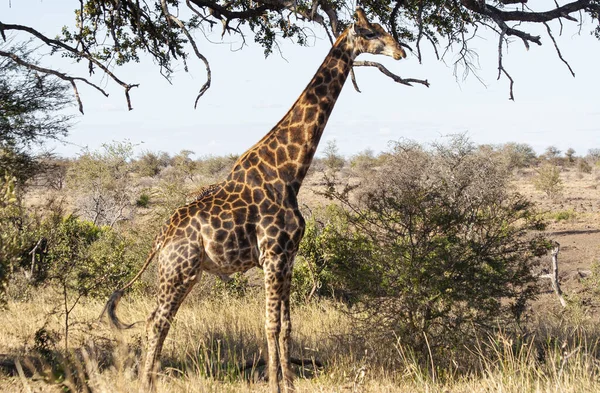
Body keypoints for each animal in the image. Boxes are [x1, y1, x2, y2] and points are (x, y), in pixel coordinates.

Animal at [104, 6, 408, 392]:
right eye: (370, 32)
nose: (400, 52)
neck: (290, 172)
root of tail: (160, 238)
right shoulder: (273, 254)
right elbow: (271, 324)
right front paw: (275, 383)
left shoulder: (289, 256)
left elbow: (288, 325)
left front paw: (289, 383)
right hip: (178, 269)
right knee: (156, 320)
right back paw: (146, 383)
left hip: (187, 272)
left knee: (159, 320)